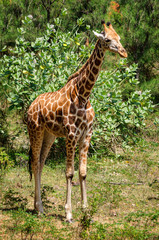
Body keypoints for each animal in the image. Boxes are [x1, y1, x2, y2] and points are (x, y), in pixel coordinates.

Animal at [27, 19, 126, 222]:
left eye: (119, 37)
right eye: (107, 39)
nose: (123, 52)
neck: (83, 94)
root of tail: (31, 106)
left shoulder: (87, 134)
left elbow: (83, 173)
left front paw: (86, 211)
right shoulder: (71, 134)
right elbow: (69, 173)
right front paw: (69, 213)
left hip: (50, 135)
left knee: (40, 164)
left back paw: (38, 207)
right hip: (35, 130)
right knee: (34, 162)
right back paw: (38, 208)